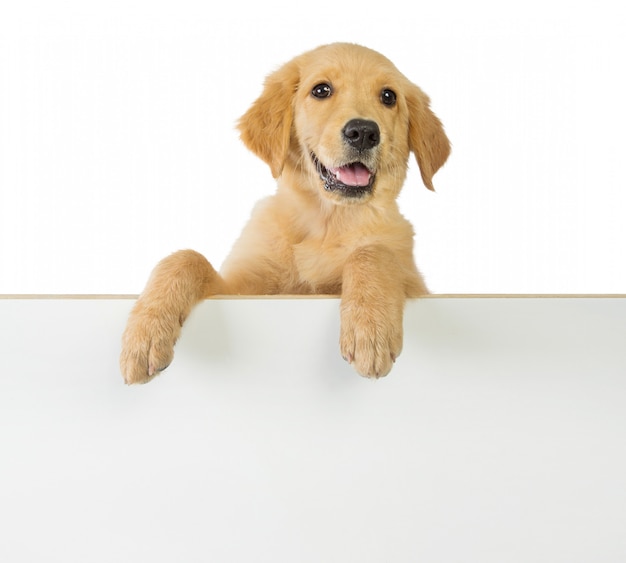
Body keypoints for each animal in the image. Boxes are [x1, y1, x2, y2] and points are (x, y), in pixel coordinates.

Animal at [118, 43, 448, 384]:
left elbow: (372, 252)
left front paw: (370, 330)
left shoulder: (418, 285)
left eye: (388, 96)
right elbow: (186, 257)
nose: (364, 132)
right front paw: (144, 333)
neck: (326, 222)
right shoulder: (240, 291)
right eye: (321, 90)